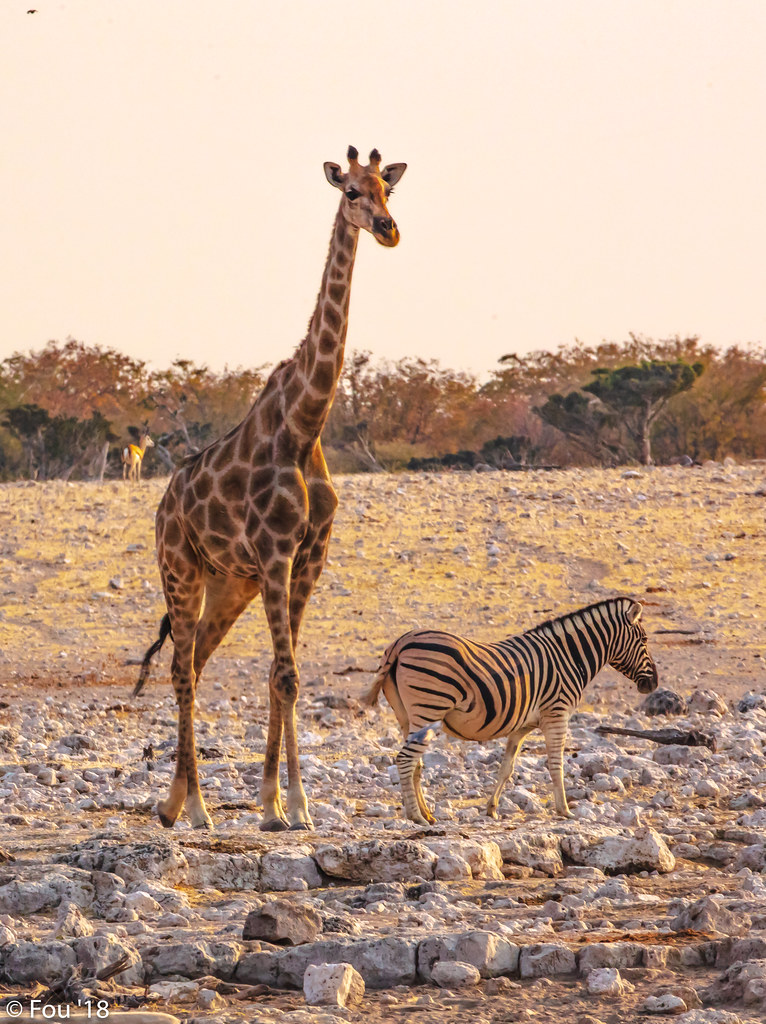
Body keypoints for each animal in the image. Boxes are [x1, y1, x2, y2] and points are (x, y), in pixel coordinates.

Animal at [362, 597, 658, 825]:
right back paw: (416, 817)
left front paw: (491, 809)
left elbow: (507, 767)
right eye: (644, 640)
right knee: (405, 759)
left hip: (407, 716)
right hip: (429, 708)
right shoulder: (557, 713)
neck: (568, 657)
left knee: (416, 763)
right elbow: (556, 764)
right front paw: (564, 810)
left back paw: (426, 813)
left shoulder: (523, 725)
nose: (653, 684)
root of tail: (401, 642)